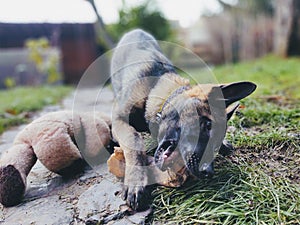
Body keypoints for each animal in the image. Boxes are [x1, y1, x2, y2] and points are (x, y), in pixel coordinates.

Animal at [110, 29, 255, 210]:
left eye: (215, 144)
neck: (156, 91)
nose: (208, 172)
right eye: (207, 125)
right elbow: (134, 140)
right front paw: (136, 181)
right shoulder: (118, 120)